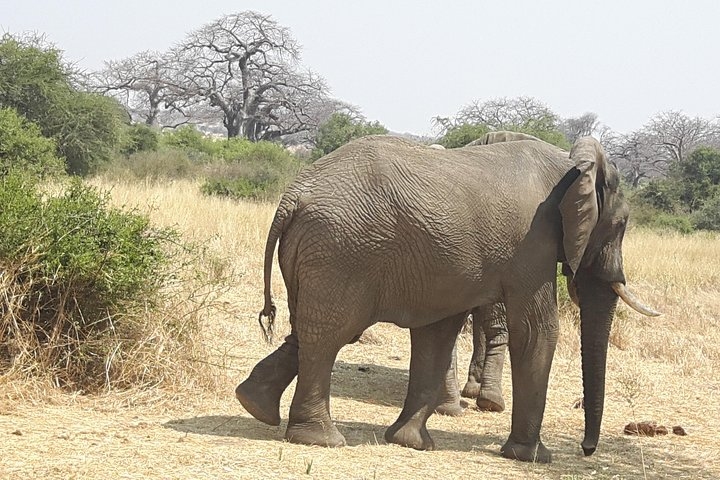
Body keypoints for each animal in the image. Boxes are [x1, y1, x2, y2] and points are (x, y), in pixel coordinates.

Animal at [235, 134, 659, 463]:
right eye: (620, 225)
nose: (587, 449)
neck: (573, 163)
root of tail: (293, 196)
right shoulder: (533, 242)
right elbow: (537, 330)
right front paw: (532, 457)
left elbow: (437, 333)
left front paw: (410, 443)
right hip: (340, 250)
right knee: (330, 335)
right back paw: (320, 440)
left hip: (318, 252)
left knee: (308, 330)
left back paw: (255, 405)